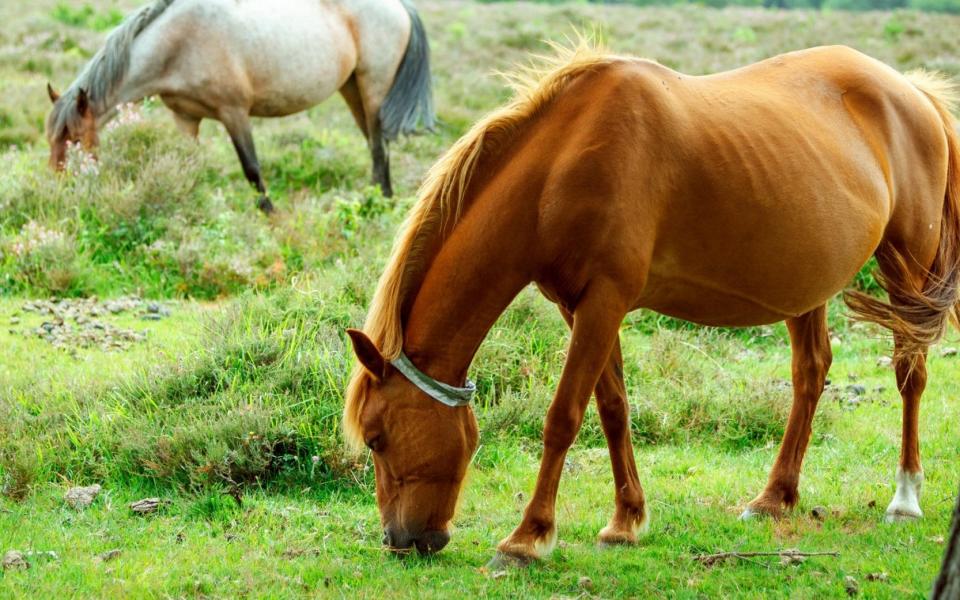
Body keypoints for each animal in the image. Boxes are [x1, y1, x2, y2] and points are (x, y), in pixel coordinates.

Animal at [45, 0, 436, 212]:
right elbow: (187, 164)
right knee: (373, 144)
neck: (180, 42)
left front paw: (271, 215)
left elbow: (251, 168)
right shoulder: (185, 117)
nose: (58, 190)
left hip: (373, 87)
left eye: (75, 141)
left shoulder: (234, 113)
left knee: (379, 146)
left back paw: (382, 203)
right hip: (351, 87)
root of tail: (399, 6)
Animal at [342, 42, 956, 564]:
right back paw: (774, 497)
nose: (400, 539)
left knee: (910, 372)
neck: (560, 167)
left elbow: (563, 416)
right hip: (809, 282)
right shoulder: (582, 306)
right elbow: (612, 409)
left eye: (376, 438)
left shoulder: (604, 301)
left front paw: (527, 538)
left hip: (908, 268)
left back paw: (905, 498)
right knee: (811, 373)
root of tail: (912, 91)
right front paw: (626, 521)